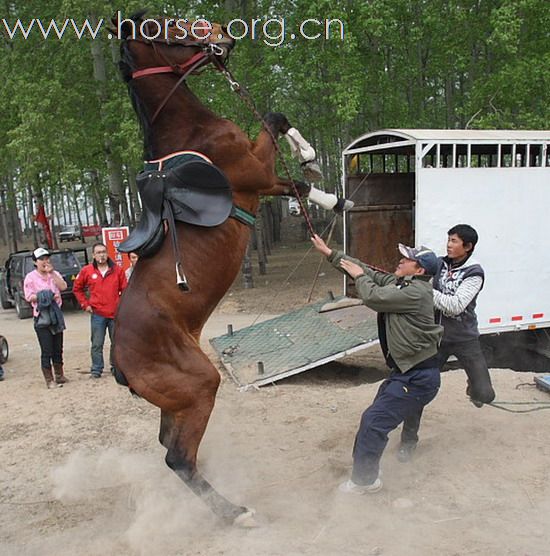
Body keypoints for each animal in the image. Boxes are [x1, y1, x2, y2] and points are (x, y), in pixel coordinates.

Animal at [113, 11, 328, 524]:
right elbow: (283, 151)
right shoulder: (257, 174)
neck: (192, 132)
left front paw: (316, 170)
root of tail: (118, 362)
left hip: (177, 401)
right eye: (164, 26)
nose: (222, 36)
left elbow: (280, 132)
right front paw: (321, 178)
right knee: (178, 458)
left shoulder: (262, 180)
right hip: (199, 386)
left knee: (170, 448)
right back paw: (234, 513)